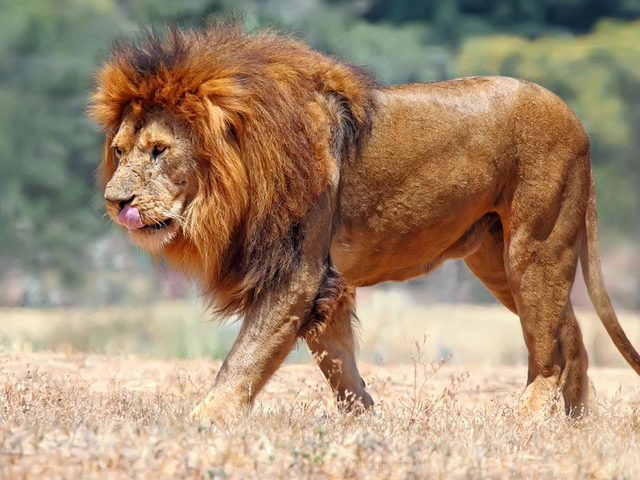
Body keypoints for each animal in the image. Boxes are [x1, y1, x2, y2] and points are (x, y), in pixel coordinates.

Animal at [90, 23, 640, 424]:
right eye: (118, 151)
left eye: (159, 151)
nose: (116, 201)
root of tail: (577, 122)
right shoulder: (325, 284)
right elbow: (340, 369)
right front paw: (367, 424)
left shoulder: (297, 274)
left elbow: (243, 360)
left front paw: (198, 424)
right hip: (497, 260)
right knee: (572, 337)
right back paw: (573, 426)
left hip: (535, 248)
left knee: (550, 352)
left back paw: (523, 422)